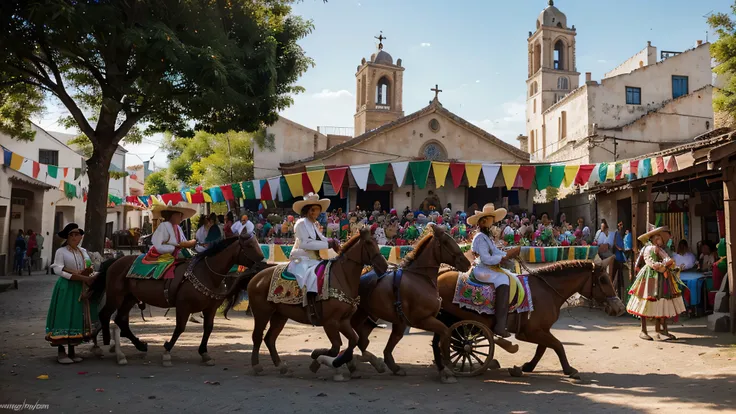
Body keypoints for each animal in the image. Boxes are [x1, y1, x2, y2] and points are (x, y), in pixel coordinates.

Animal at [91, 233, 264, 366]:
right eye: (250, 246)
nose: (263, 264)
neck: (206, 273)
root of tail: (115, 261)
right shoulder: (183, 306)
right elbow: (180, 328)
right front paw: (167, 350)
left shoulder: (210, 308)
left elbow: (208, 328)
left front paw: (204, 353)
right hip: (116, 297)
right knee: (105, 315)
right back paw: (106, 344)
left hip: (130, 298)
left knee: (120, 320)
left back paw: (140, 345)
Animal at [244, 230, 388, 382]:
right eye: (368, 243)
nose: (383, 266)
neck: (342, 278)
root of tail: (257, 277)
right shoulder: (330, 322)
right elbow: (336, 347)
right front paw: (318, 357)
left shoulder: (343, 321)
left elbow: (353, 341)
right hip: (262, 313)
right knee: (257, 336)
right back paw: (256, 366)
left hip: (280, 315)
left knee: (270, 338)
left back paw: (282, 367)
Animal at [350, 225, 472, 384]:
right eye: (446, 241)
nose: (467, 263)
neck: (420, 278)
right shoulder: (422, 320)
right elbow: (445, 334)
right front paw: (447, 368)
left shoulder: (403, 322)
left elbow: (393, 342)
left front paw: (394, 366)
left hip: (367, 314)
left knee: (361, 336)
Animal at [436, 258, 628, 380]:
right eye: (603, 279)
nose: (620, 308)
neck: (547, 291)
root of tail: (440, 274)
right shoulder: (530, 332)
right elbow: (558, 345)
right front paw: (569, 369)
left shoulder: (542, 330)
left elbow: (542, 348)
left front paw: (525, 367)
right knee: (446, 342)